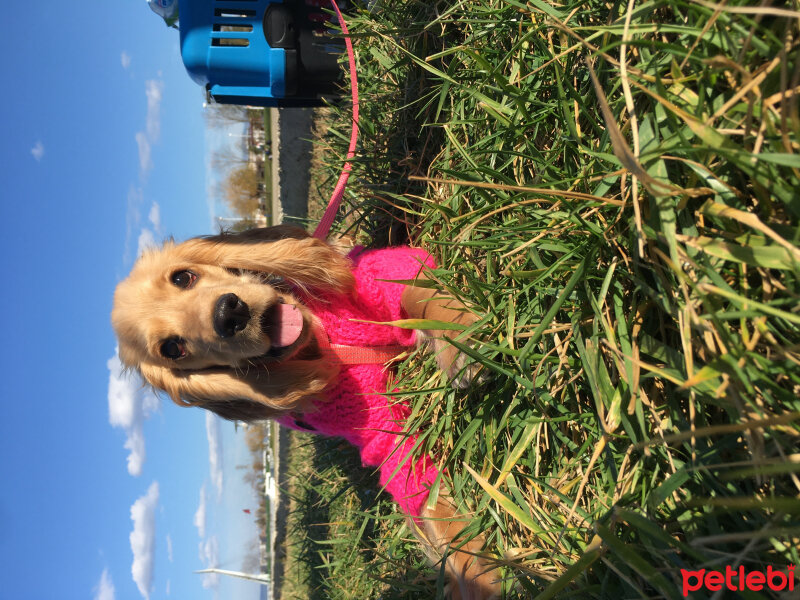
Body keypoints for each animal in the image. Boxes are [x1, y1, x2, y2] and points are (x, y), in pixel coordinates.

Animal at [112, 226, 500, 600]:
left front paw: (461, 336)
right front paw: (471, 563)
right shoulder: (377, 429)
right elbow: (420, 488)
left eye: (183, 277)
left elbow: (420, 297)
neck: (322, 340)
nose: (229, 313)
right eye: (172, 348)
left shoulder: (387, 273)